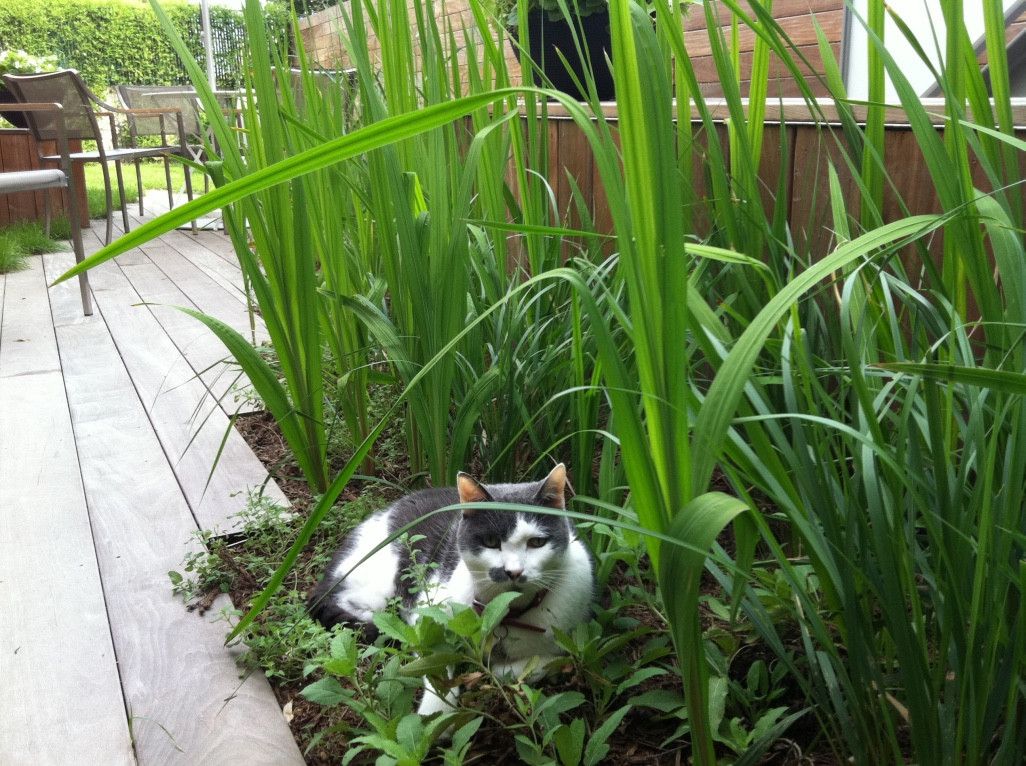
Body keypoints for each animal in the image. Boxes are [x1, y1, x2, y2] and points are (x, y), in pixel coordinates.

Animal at [303, 461, 595, 717]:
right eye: (490, 541)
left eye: (536, 543)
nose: (513, 571)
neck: (508, 612)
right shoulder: (427, 615)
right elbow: (436, 664)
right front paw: (435, 716)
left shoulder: (574, 631)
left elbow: (539, 664)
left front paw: (494, 670)